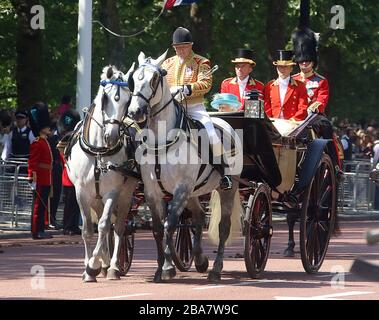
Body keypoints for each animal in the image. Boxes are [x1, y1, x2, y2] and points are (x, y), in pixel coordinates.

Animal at [66, 63, 138, 282]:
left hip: (126, 194)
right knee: (99, 223)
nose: (112, 136)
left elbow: (105, 225)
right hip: (95, 197)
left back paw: (113, 266)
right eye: (106, 99)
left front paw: (92, 265)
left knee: (119, 227)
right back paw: (104, 264)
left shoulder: (112, 192)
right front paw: (89, 268)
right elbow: (88, 230)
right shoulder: (81, 192)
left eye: (128, 100)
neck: (98, 150)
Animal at [126, 51, 242, 282]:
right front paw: (161, 268)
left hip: (227, 188)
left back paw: (216, 269)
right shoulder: (153, 191)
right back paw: (200, 260)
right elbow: (158, 228)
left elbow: (170, 224)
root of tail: (226, 125)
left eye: (154, 78)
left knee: (223, 227)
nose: (135, 111)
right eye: (133, 78)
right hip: (194, 191)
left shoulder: (181, 188)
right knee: (198, 217)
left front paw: (167, 267)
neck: (161, 142)